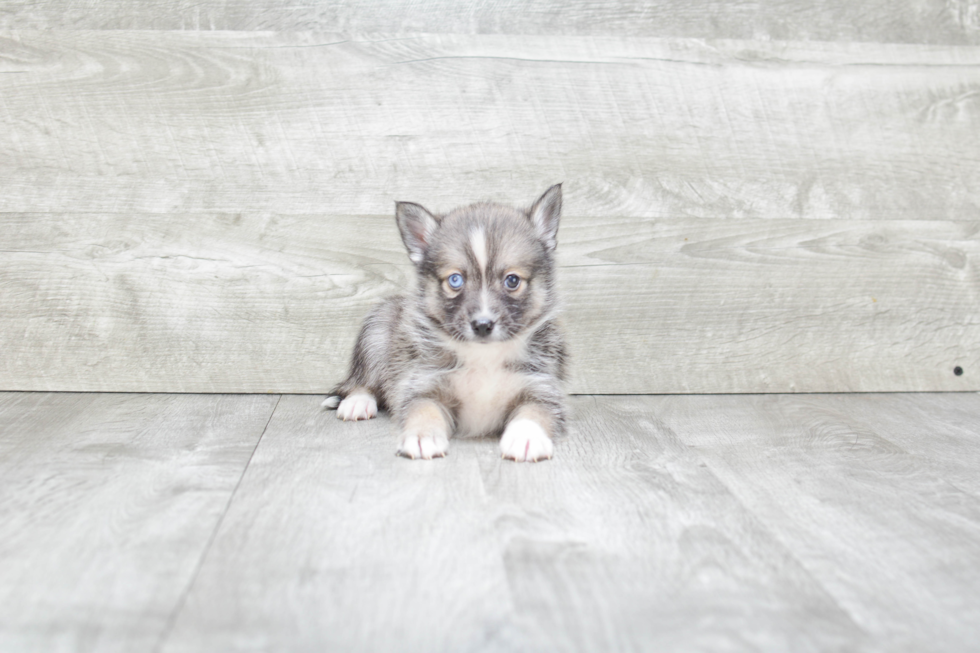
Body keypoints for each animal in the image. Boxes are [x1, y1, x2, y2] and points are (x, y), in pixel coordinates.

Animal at [322, 181, 568, 460]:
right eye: (455, 280)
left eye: (512, 280)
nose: (482, 325)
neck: (484, 358)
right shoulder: (423, 386)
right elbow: (423, 410)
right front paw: (422, 436)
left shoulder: (541, 387)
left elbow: (534, 412)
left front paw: (527, 437)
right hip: (376, 332)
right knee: (362, 381)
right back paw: (357, 402)